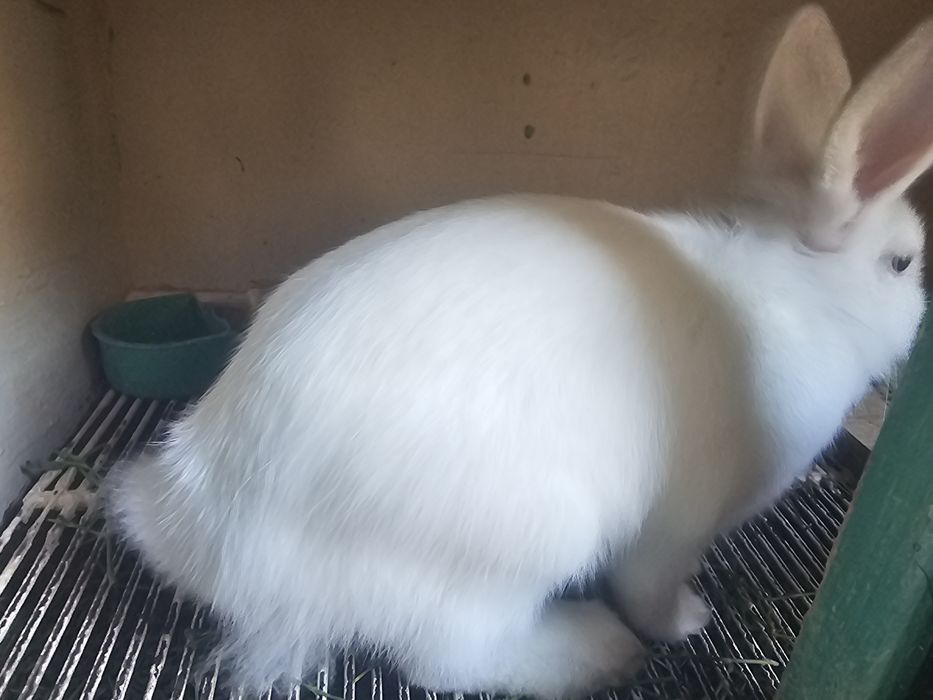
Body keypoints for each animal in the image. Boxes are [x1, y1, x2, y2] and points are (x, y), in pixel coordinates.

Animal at [106, 5, 933, 699]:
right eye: (900, 263)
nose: (915, 317)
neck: (794, 294)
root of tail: (214, 527)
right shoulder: (671, 527)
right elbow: (650, 588)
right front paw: (687, 620)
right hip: (527, 543)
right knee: (446, 659)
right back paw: (595, 651)